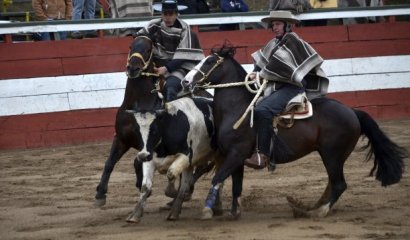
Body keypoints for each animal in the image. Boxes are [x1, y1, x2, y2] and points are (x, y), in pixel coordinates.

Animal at [183, 44, 406, 219]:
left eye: (210, 61)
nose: (186, 82)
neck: (238, 108)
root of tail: (352, 112)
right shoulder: (235, 157)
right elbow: (235, 185)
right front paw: (234, 212)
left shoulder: (236, 154)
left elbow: (217, 178)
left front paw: (207, 209)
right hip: (332, 156)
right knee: (332, 183)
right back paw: (313, 206)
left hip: (332, 154)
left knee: (339, 184)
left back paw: (316, 212)